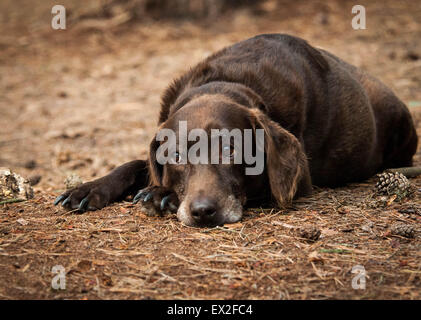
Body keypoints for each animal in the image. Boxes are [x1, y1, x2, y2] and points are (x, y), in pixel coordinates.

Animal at [55, 33, 416, 226]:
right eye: (175, 156)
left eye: (231, 150)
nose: (203, 212)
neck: (226, 82)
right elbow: (135, 163)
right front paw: (88, 188)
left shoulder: (299, 182)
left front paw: (161, 194)